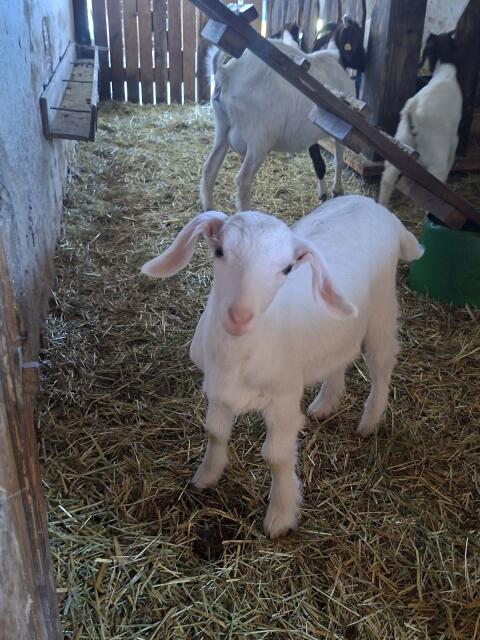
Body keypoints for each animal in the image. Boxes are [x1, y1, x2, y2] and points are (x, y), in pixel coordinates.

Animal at [141, 195, 423, 538]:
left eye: (287, 268)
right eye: (219, 251)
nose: (239, 316)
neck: (238, 356)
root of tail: (375, 205)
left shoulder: (284, 398)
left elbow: (275, 456)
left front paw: (281, 515)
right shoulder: (216, 389)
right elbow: (215, 432)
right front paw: (206, 476)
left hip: (382, 309)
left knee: (382, 363)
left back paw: (370, 421)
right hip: (341, 322)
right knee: (341, 354)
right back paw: (326, 402)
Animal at [200, 39, 356, 212]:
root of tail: (227, 73)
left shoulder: (310, 135)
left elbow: (319, 163)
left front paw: (324, 194)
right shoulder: (341, 131)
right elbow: (338, 160)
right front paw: (337, 190)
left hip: (222, 128)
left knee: (209, 168)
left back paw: (209, 208)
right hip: (259, 139)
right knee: (243, 180)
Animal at [379, 32, 463, 207]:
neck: (445, 70)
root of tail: (414, 107)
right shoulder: (454, 140)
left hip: (401, 143)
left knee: (388, 177)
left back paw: (381, 205)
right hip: (435, 157)